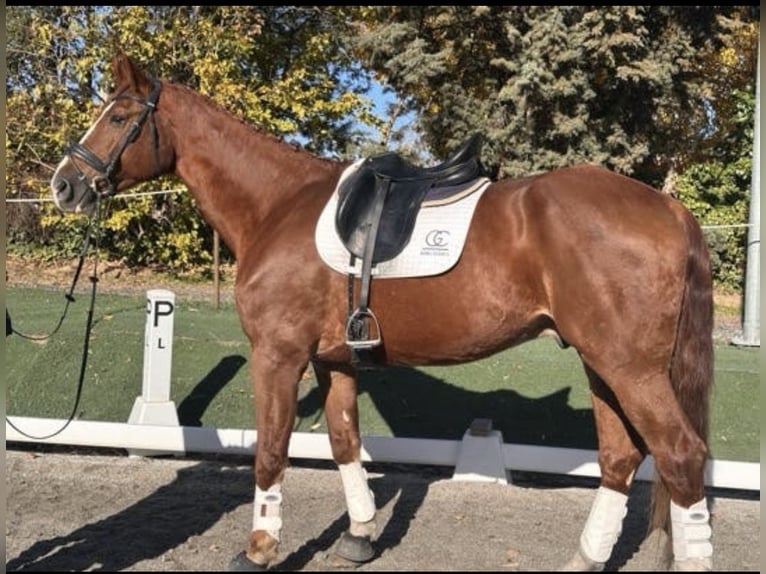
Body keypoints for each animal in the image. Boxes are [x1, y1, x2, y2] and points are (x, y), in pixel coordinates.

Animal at [50, 52, 714, 572]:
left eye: (118, 117)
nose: (63, 186)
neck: (277, 205)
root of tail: (669, 208)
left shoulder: (278, 356)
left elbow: (271, 449)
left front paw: (261, 547)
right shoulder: (335, 360)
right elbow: (345, 441)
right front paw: (360, 535)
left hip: (631, 369)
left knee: (681, 456)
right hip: (602, 364)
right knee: (621, 457)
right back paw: (584, 557)